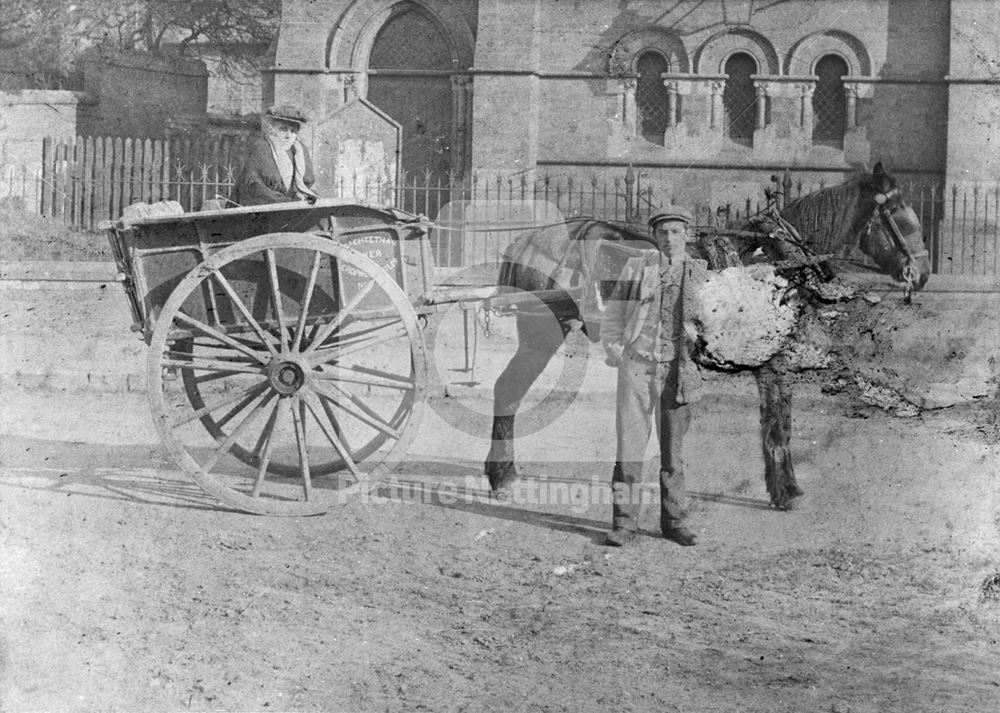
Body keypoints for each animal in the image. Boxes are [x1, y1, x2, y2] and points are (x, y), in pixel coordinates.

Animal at [482, 160, 928, 506]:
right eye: (899, 211)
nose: (921, 273)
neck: (778, 258)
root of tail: (529, 238)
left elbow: (777, 420)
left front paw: (784, 485)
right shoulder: (773, 362)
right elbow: (777, 424)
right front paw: (783, 488)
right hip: (541, 334)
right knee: (507, 390)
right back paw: (502, 475)